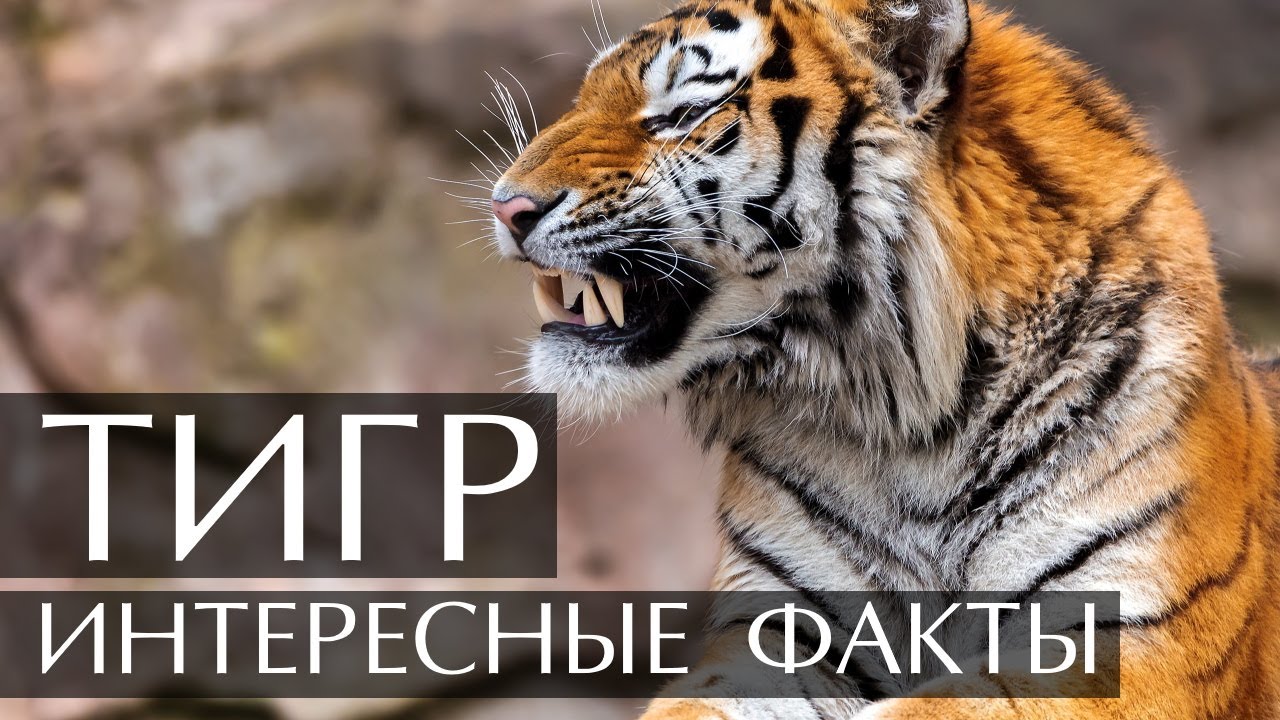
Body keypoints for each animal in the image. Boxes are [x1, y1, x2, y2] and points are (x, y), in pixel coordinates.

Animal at [485, 0, 1280, 717]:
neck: (909, 419)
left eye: (682, 113)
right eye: (584, 97)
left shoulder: (1131, 646)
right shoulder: (773, 633)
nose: (504, 206)